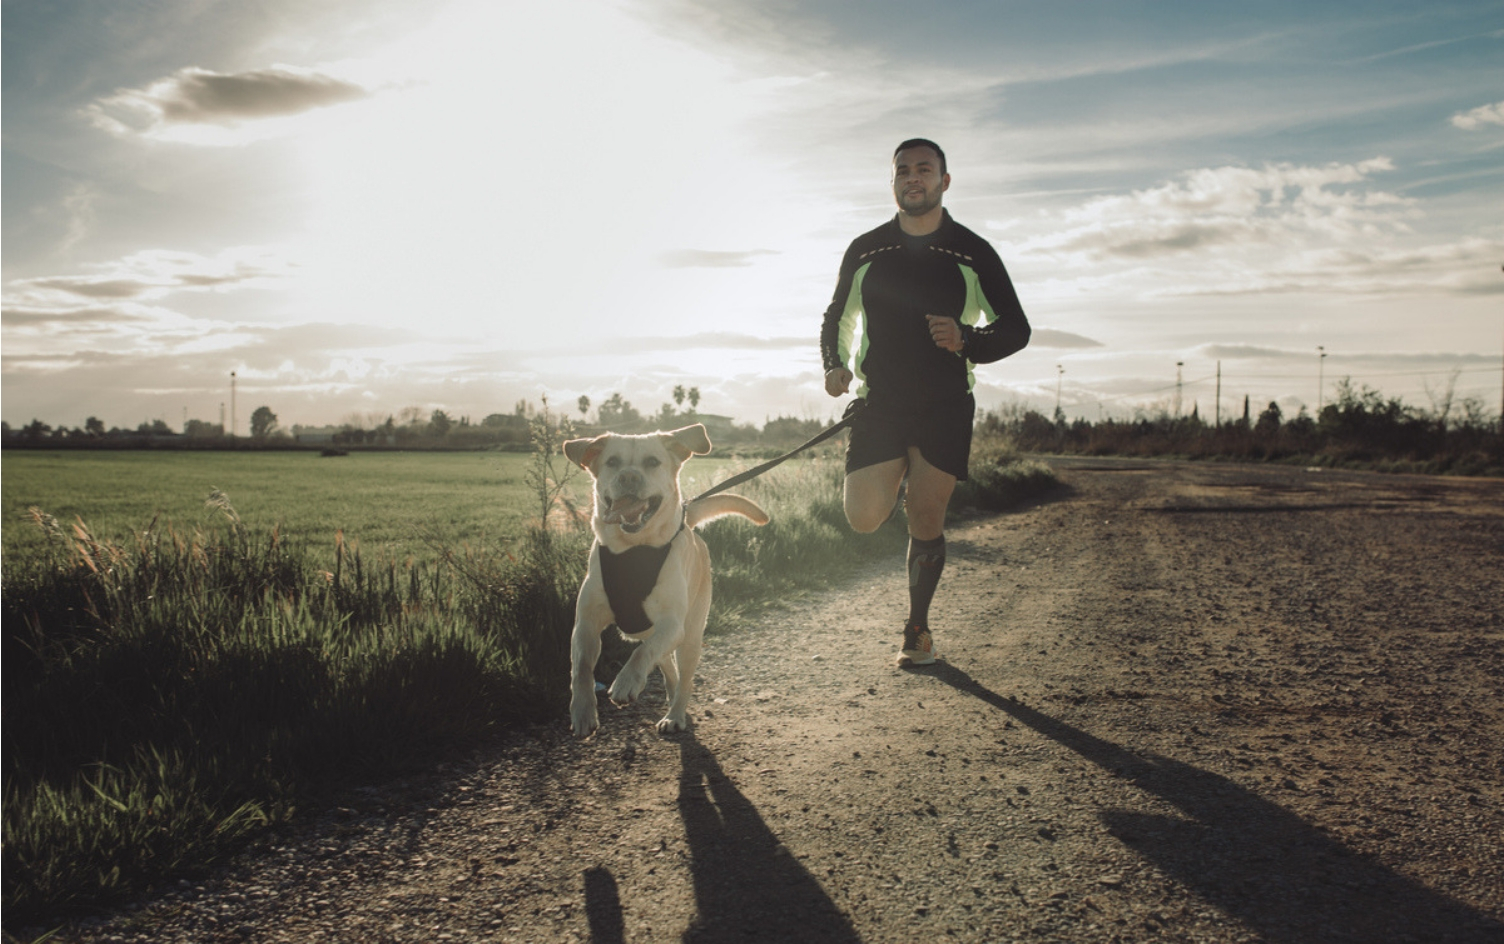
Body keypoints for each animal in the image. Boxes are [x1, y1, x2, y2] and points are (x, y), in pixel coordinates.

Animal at [565, 420, 770, 736]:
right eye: (612, 462)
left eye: (652, 462)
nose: (628, 476)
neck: (633, 551)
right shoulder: (586, 623)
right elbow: (582, 668)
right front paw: (583, 711)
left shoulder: (671, 623)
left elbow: (641, 654)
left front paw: (625, 682)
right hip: (649, 631)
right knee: (664, 663)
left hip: (690, 637)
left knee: (681, 675)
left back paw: (675, 714)